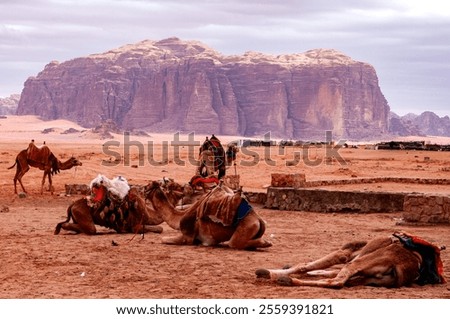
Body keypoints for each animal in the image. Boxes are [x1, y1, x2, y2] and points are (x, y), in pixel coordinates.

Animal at [255, 232, 444, 290]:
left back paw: (284, 279)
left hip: (363, 263)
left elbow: (310, 264)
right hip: (371, 279)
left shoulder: (347, 253)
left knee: (338, 281)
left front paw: (269, 271)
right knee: (342, 280)